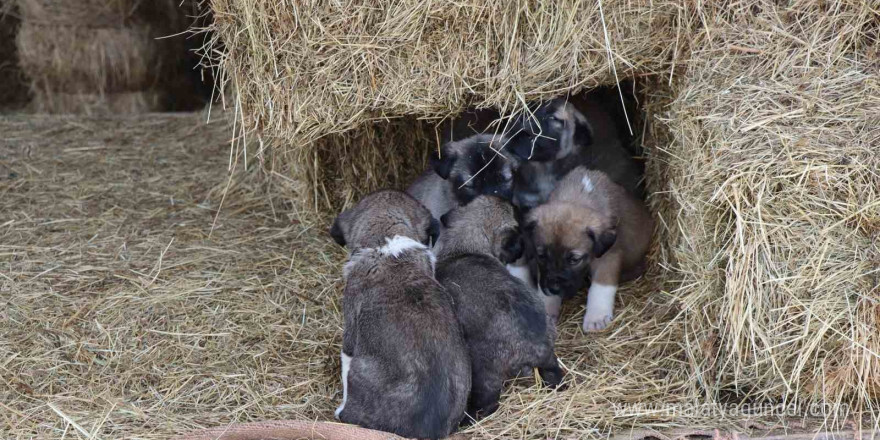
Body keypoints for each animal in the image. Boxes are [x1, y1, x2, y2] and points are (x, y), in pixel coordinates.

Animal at [524, 168, 652, 334]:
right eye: (542, 256)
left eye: (574, 260)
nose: (553, 289)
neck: (578, 195)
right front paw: (547, 308)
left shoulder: (608, 257)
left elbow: (601, 286)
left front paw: (596, 317)